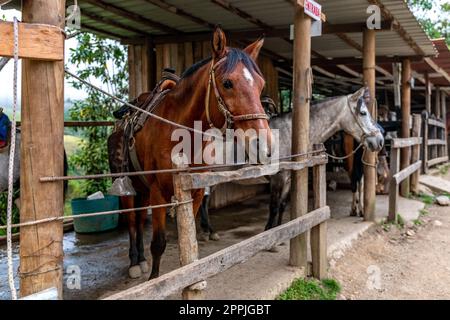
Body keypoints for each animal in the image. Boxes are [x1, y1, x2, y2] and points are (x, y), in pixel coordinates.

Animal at [117, 28, 270, 280]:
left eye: (260, 84)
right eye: (227, 83)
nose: (263, 144)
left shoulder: (195, 192)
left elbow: (189, 241)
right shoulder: (159, 193)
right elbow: (158, 243)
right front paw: (155, 280)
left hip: (143, 189)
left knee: (138, 221)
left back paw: (140, 260)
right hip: (130, 188)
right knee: (131, 222)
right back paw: (133, 262)